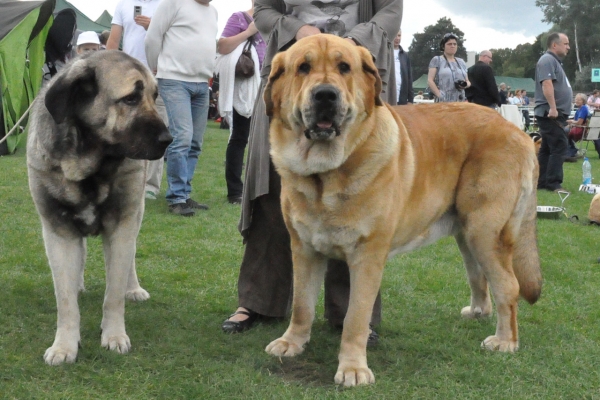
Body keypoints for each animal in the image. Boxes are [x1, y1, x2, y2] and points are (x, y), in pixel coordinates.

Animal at [28, 50, 173, 366]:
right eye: (131, 98)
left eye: (154, 95)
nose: (167, 140)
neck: (88, 165)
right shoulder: (58, 231)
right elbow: (65, 299)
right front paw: (64, 346)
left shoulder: (121, 228)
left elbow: (113, 294)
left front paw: (114, 336)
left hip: (135, 215)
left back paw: (133, 288)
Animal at [264, 35, 540, 388]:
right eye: (303, 67)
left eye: (344, 68)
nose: (326, 94)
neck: (325, 175)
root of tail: (519, 133)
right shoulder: (304, 248)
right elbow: (302, 304)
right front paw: (292, 343)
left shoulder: (367, 256)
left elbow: (355, 317)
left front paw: (353, 368)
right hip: (468, 232)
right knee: (478, 274)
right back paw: (478, 312)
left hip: (485, 230)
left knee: (508, 285)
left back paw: (505, 341)